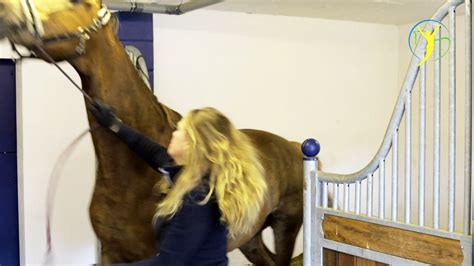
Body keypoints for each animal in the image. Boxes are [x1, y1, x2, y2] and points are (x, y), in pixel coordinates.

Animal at [0, 1, 304, 264]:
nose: (6, 9)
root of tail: (292, 145)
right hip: (250, 237)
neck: (131, 174)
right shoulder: (112, 252)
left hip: (286, 225)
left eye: (77, 2)